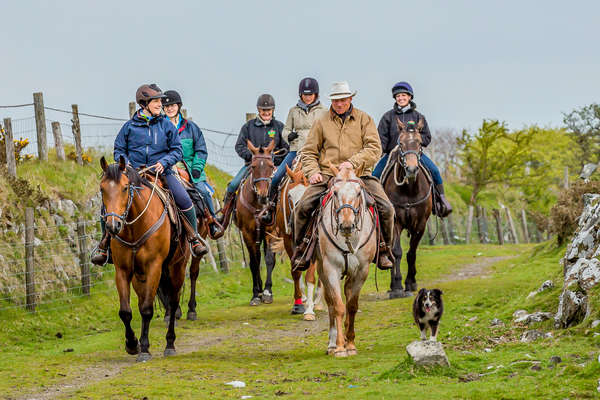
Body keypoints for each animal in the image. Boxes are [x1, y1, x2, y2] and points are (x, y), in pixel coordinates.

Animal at [99, 157, 190, 362]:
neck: (135, 227)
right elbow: (126, 312)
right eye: (102, 189)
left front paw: (145, 349)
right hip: (139, 277)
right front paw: (133, 344)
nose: (113, 226)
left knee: (173, 302)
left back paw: (170, 343)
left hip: (177, 267)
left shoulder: (154, 267)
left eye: (125, 188)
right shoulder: (123, 270)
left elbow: (147, 309)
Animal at [236, 140, 280, 306]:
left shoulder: (271, 231)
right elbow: (254, 263)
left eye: (271, 166)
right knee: (256, 258)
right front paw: (256, 294)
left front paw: (267, 292)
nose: (263, 196)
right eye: (253, 166)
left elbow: (269, 260)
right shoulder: (247, 234)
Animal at [316, 166, 378, 356]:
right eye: (335, 192)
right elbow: (338, 306)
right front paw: (339, 347)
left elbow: (351, 306)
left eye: (358, 192)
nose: (346, 225)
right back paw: (332, 344)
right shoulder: (331, 268)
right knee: (330, 302)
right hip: (321, 269)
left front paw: (350, 344)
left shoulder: (362, 271)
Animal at [382, 117, 434, 298]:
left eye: (419, 142)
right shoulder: (396, 222)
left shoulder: (421, 224)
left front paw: (410, 282)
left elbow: (412, 253)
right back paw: (392, 284)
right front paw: (397, 285)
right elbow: (397, 252)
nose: (411, 169)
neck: (409, 189)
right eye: (401, 143)